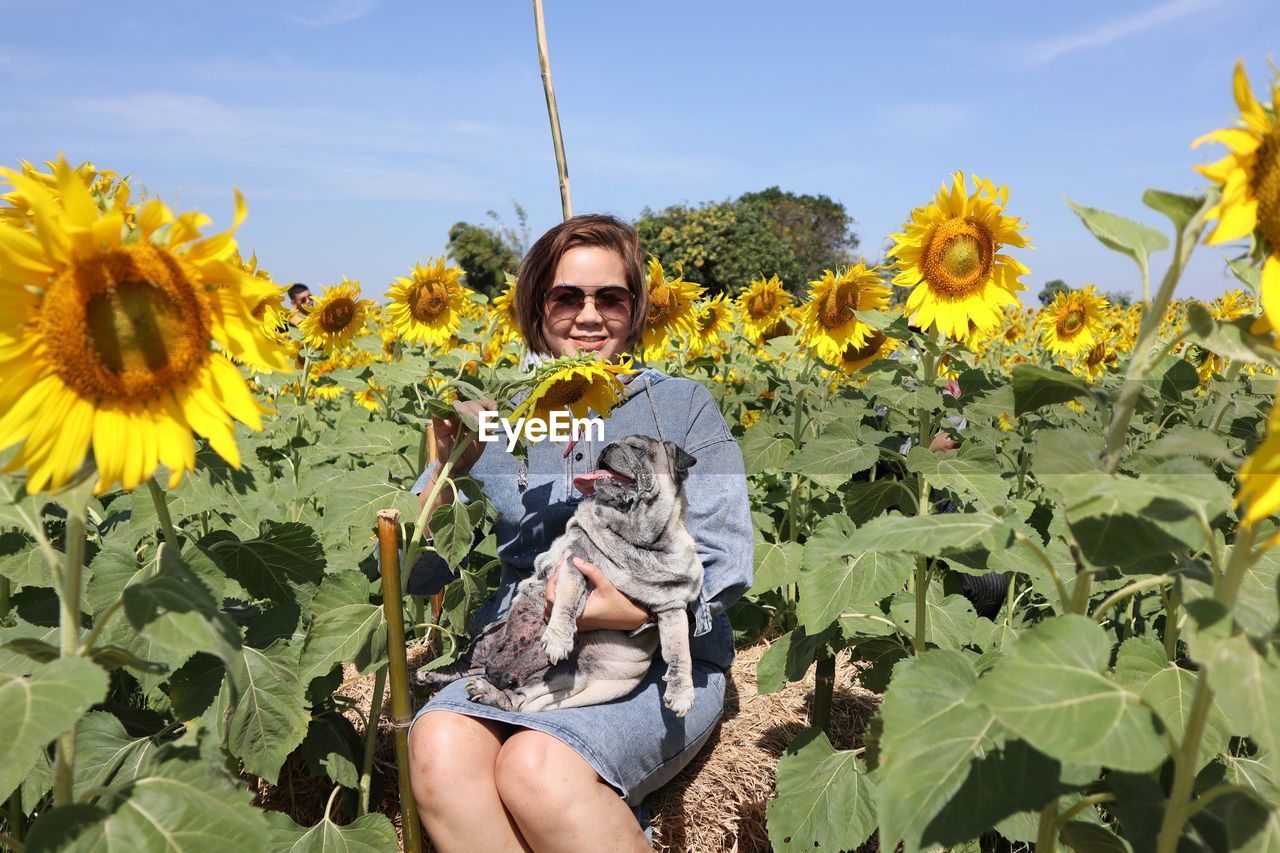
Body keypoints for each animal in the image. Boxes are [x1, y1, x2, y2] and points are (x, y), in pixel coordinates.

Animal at [414, 435, 706, 712]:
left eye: (636, 448)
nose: (608, 446)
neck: (633, 538)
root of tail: (495, 672)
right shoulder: (574, 562)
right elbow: (566, 602)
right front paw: (558, 639)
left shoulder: (672, 606)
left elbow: (680, 652)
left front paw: (682, 692)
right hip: (488, 635)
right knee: (468, 662)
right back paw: (433, 674)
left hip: (562, 676)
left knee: (516, 699)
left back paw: (488, 691)